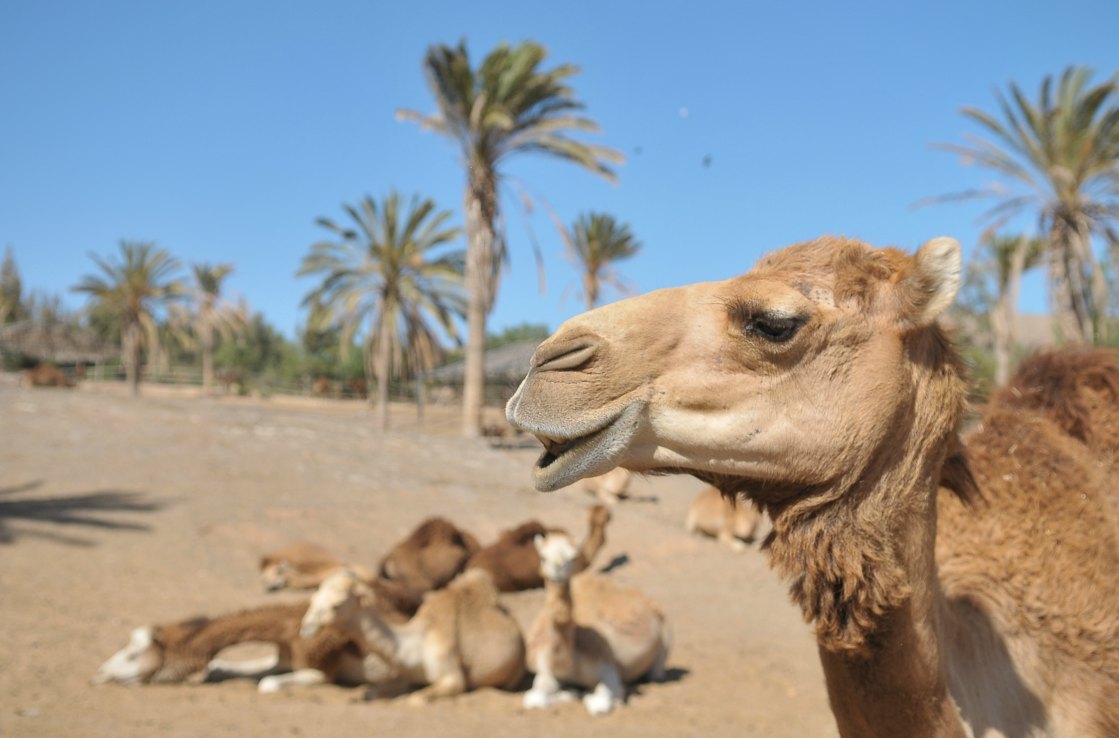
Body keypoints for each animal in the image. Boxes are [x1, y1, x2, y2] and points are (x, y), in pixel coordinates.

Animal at [302, 568, 528, 706]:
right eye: (314, 597)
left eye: (337, 604)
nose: (306, 628)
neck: (417, 645)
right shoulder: (405, 673)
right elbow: (371, 691)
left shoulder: (451, 676)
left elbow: (416, 699)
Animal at [521, 530, 666, 715]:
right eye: (543, 557)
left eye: (574, 556)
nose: (558, 570)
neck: (568, 658)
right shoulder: (545, 670)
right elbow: (534, 698)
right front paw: (570, 692)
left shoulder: (607, 668)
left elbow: (599, 703)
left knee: (656, 673)